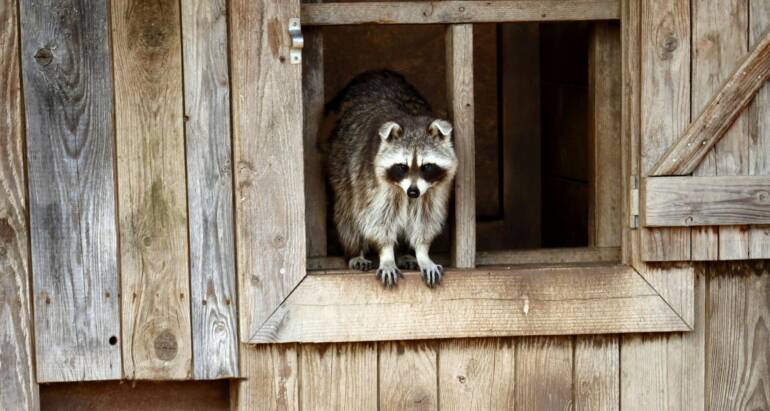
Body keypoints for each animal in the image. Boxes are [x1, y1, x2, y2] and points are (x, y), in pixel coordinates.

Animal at [325, 70, 457, 288]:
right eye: (402, 167)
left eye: (427, 166)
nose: (413, 192)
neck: (412, 120)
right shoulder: (371, 178)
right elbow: (377, 217)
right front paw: (386, 254)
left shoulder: (435, 188)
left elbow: (425, 217)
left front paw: (422, 252)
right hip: (340, 164)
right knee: (347, 213)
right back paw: (355, 251)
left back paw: (405, 253)